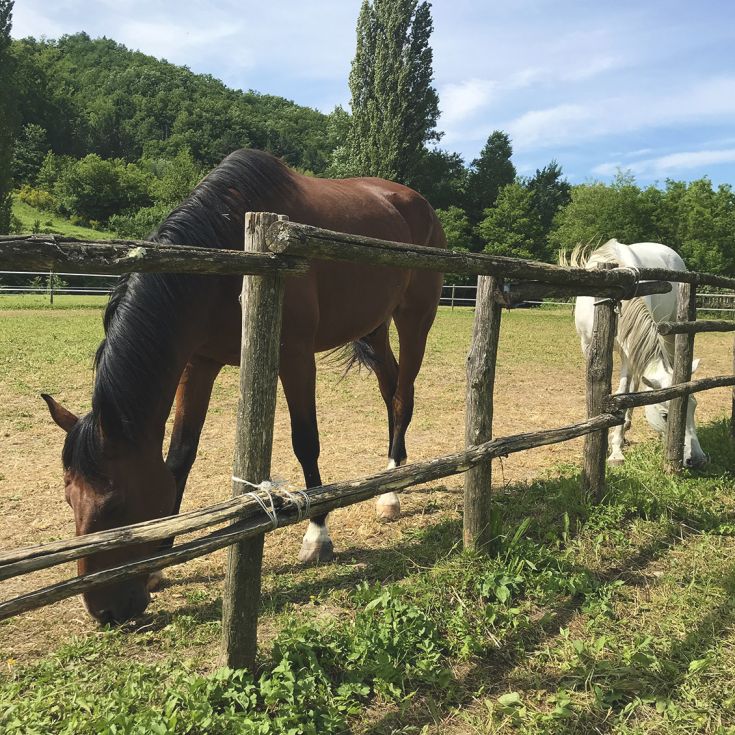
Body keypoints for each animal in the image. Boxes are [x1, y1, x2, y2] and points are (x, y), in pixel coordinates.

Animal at [41, 149, 446, 624]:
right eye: (69, 500)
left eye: (116, 505)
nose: (106, 612)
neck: (228, 245)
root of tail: (419, 203)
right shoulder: (199, 364)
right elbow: (180, 456)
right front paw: (162, 560)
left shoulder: (294, 356)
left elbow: (305, 441)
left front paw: (317, 534)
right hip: (375, 326)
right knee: (390, 388)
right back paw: (393, 473)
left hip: (415, 318)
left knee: (402, 396)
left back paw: (391, 495)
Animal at [564, 239, 706, 467]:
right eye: (665, 415)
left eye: (695, 406)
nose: (698, 459)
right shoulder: (587, 346)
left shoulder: (628, 353)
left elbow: (624, 393)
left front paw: (615, 449)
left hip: (670, 335)